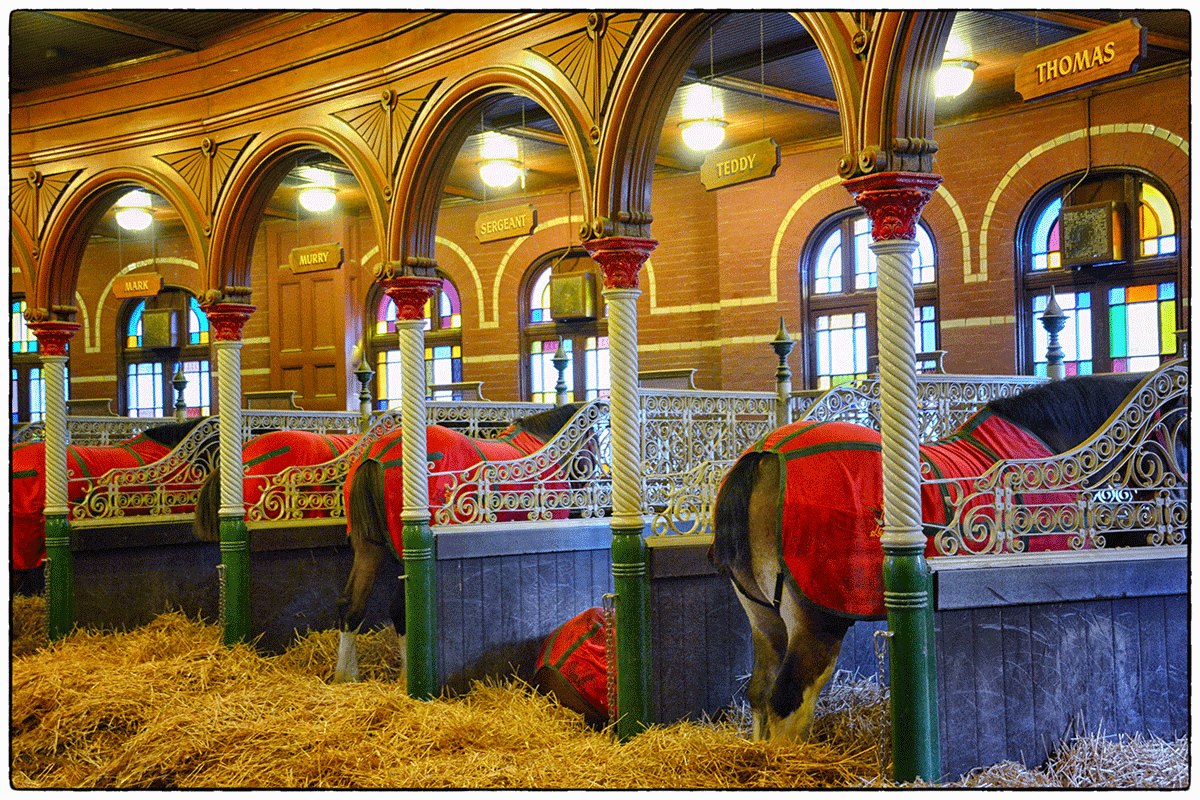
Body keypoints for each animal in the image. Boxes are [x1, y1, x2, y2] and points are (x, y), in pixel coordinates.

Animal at [334, 402, 583, 683]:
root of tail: (377, 457)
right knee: (399, 609)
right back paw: (408, 675)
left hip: (368, 548)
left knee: (352, 605)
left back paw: (346, 675)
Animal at [710, 372, 1158, 742]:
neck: (1053, 449)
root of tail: (767, 456)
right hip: (816, 622)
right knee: (789, 700)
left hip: (763, 617)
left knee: (760, 694)